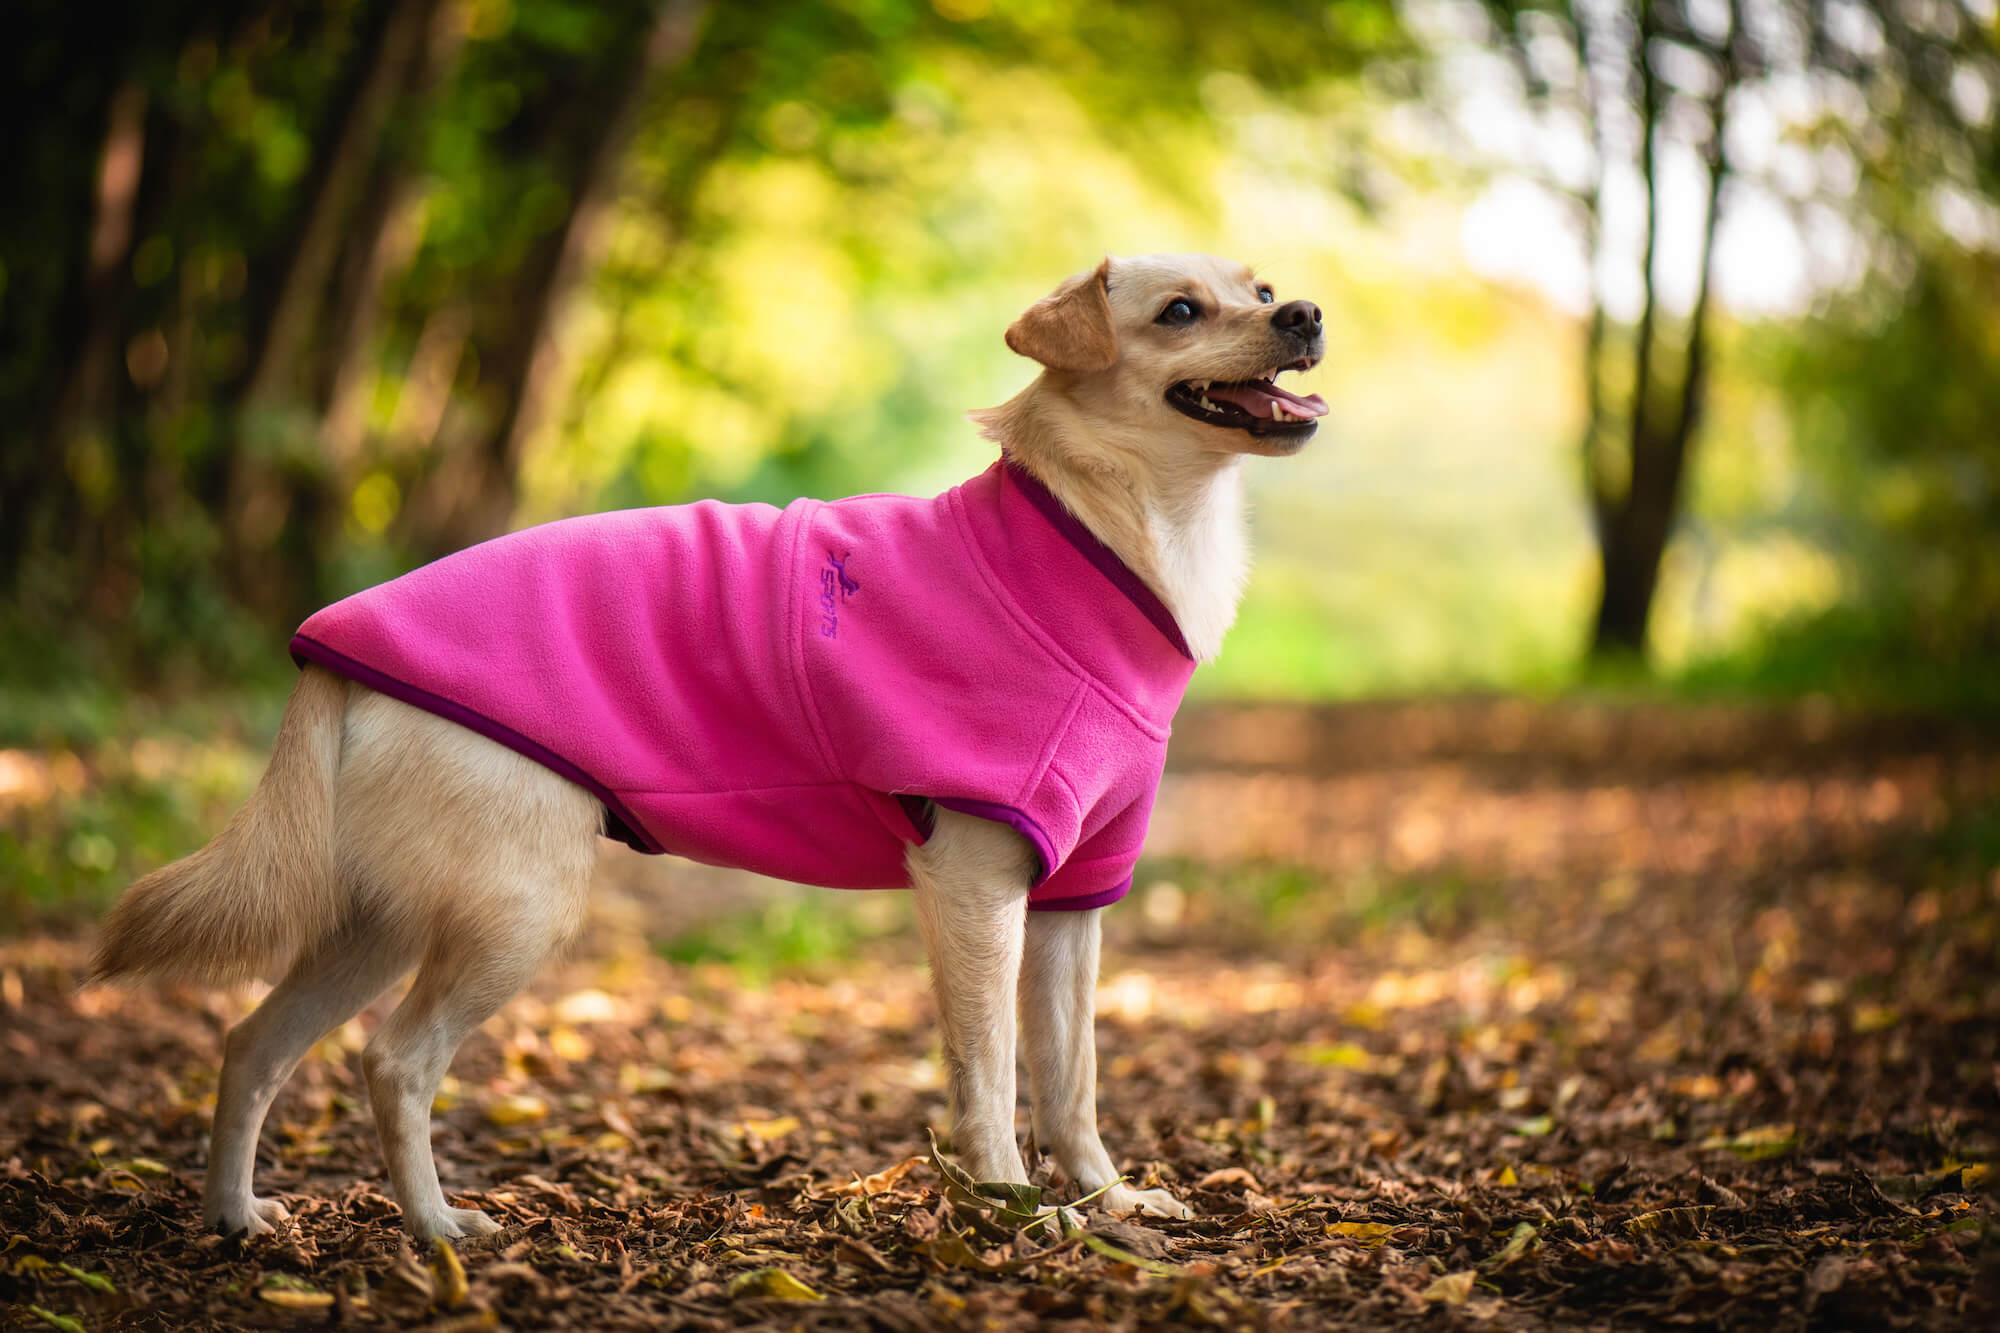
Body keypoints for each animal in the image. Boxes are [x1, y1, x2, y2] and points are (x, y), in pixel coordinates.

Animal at [94, 254, 1320, 1240]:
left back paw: (236, 1218)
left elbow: (1072, 1078)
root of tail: (335, 641)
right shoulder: (977, 888)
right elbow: (989, 1077)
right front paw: (1013, 1210)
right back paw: (436, 1228)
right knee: (393, 1062)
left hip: (383, 918)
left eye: (1258, 286)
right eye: (1179, 310)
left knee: (252, 1044)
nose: (1306, 311)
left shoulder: (1073, 902)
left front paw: (1108, 1199)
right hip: (512, 912)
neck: (1101, 538)